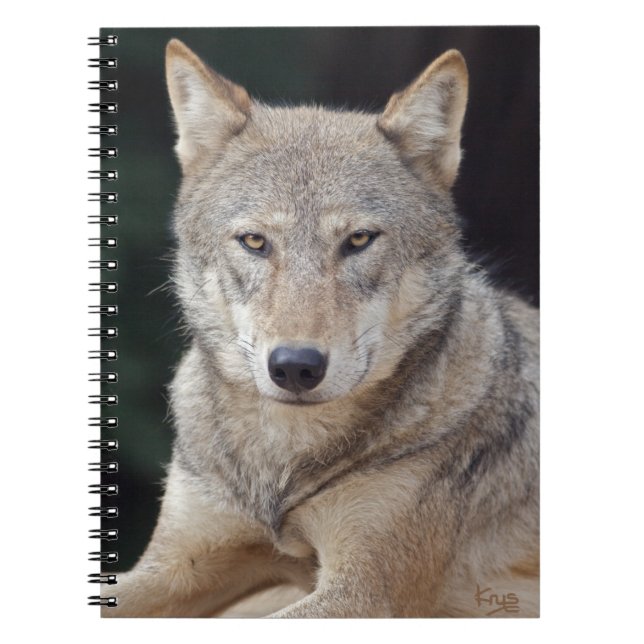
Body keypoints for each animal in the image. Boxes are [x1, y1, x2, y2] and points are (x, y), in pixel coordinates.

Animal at [103, 38, 539, 618]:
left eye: (358, 240)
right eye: (255, 242)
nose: (295, 367)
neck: (284, 466)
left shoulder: (361, 592)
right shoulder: (177, 566)